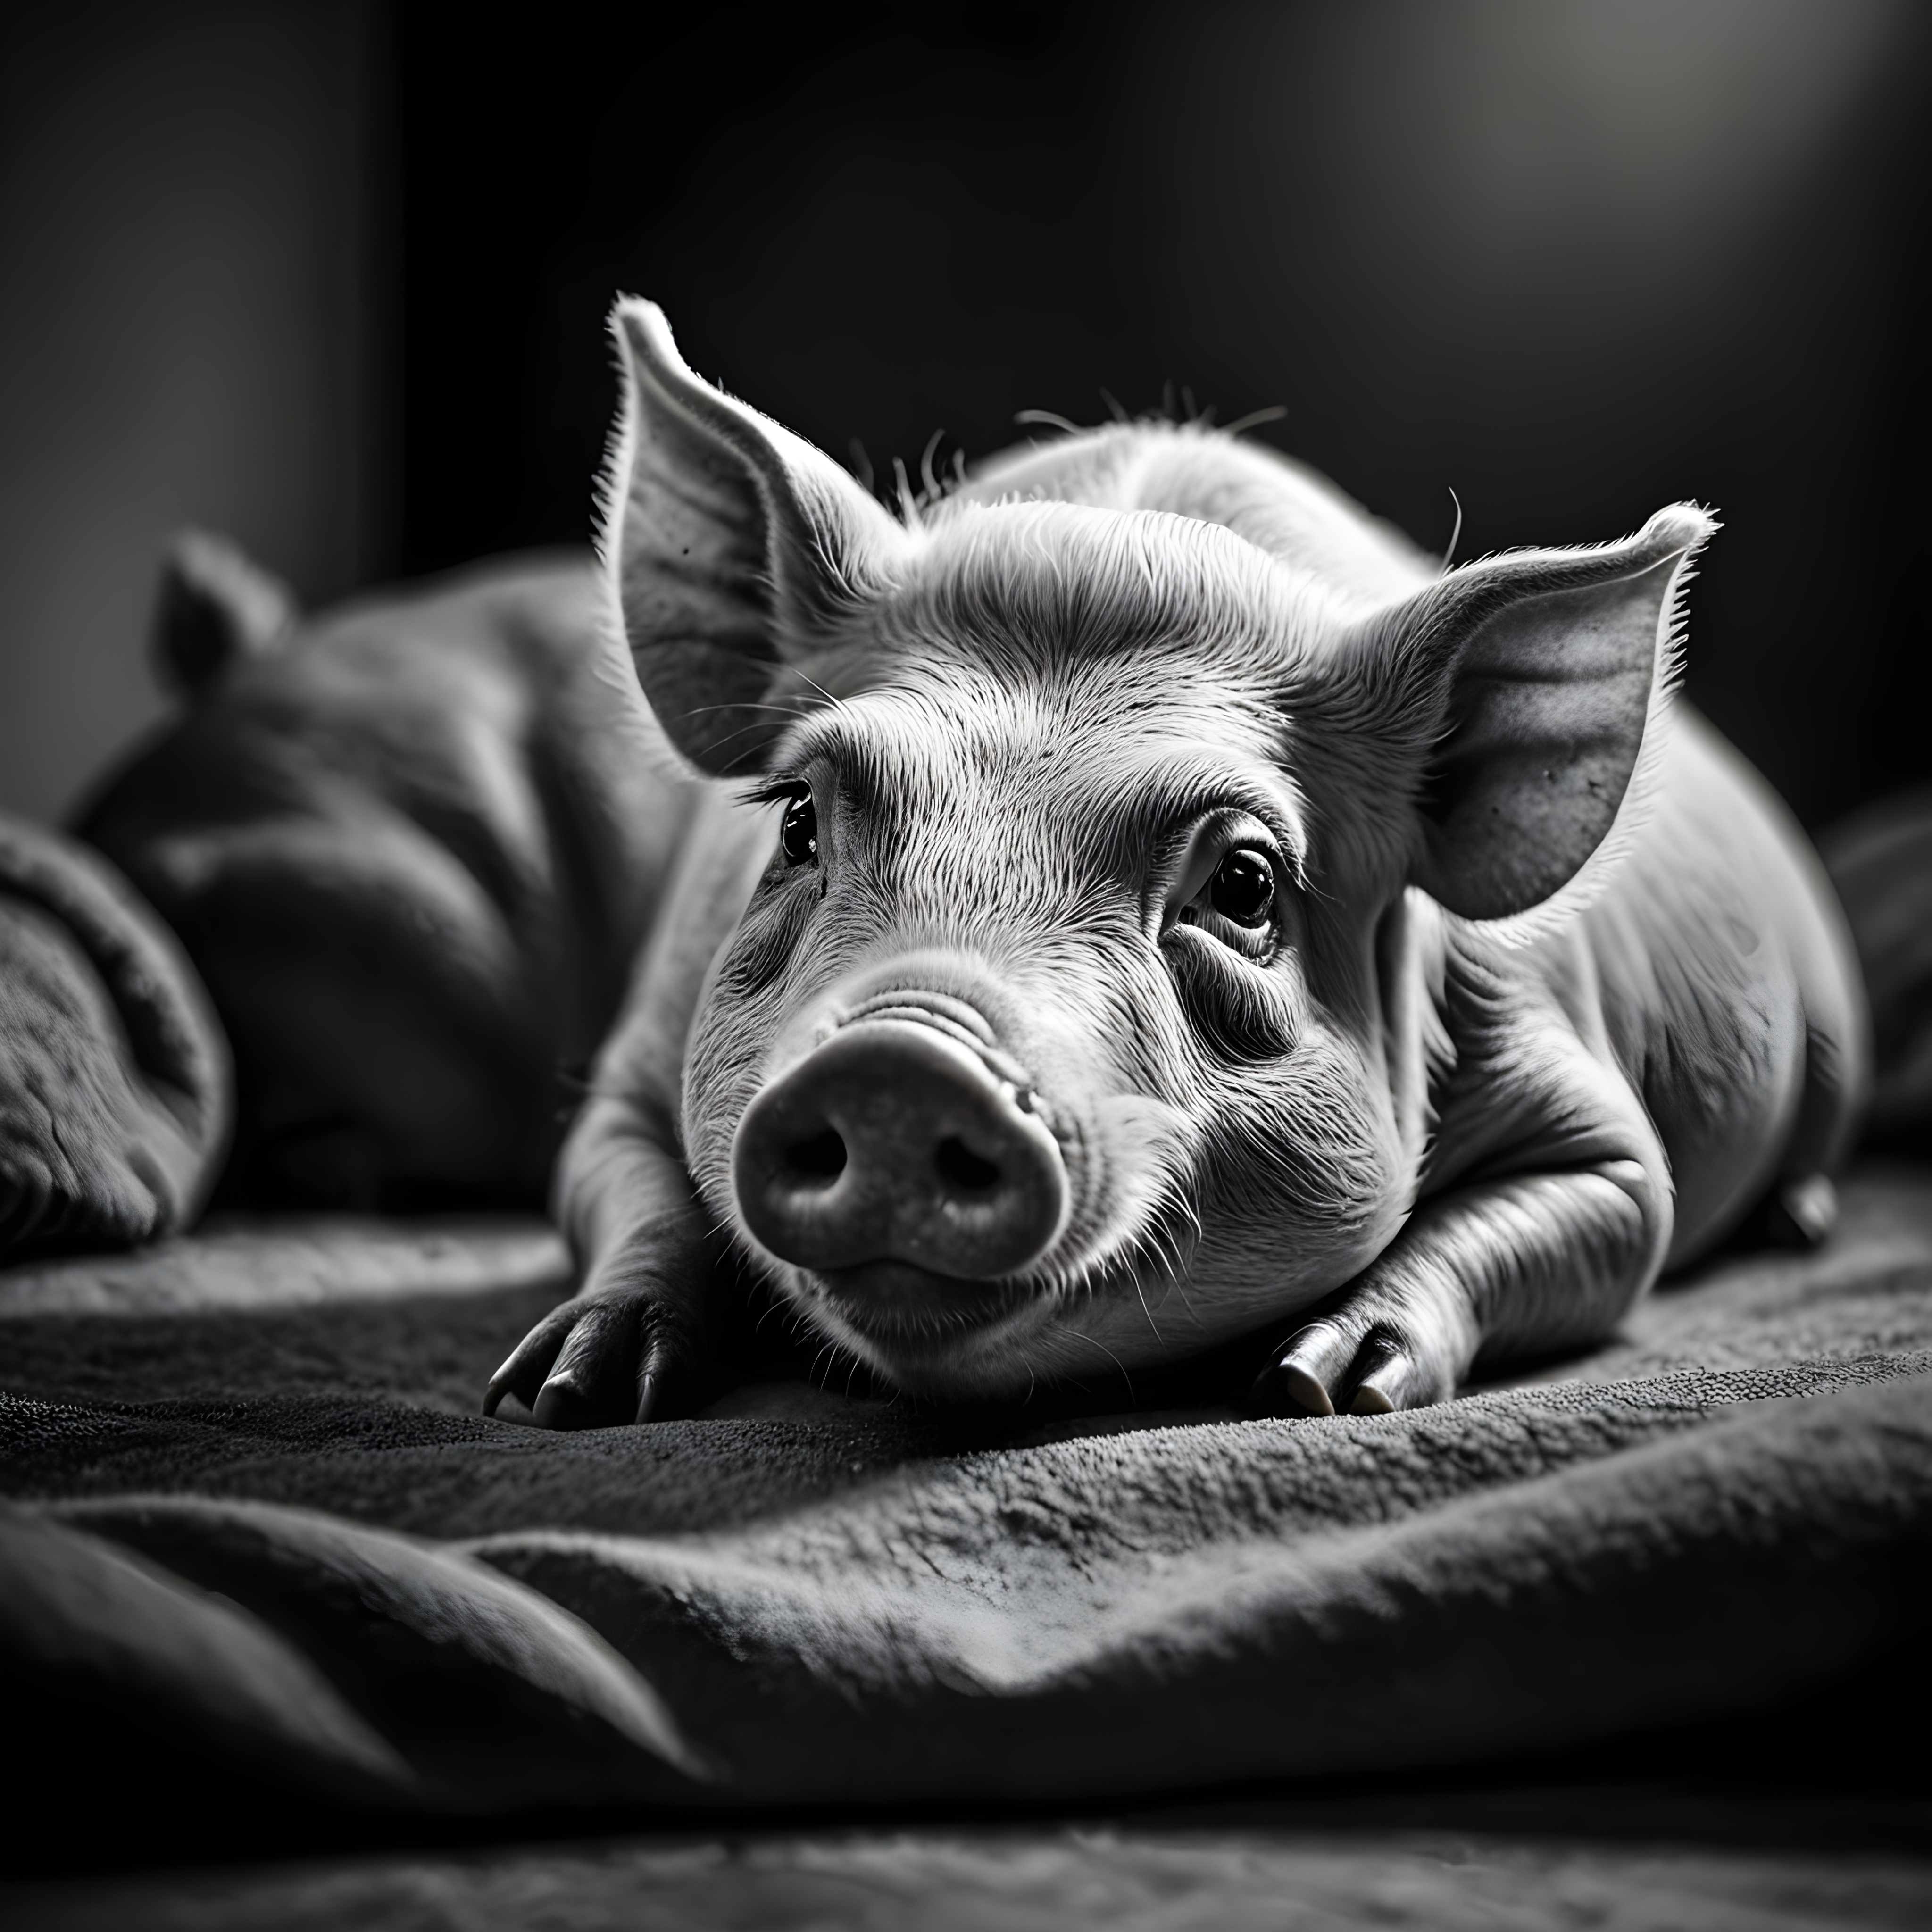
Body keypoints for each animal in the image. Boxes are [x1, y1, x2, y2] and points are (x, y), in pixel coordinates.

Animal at [483, 299, 1867, 1428]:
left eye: (1245, 884)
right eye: (797, 824)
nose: (901, 1062)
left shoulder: (1586, 1109)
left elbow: (1614, 1212)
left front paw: (1322, 1385)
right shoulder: (639, 1056)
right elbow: (625, 1187)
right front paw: (557, 1394)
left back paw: (1804, 1222)